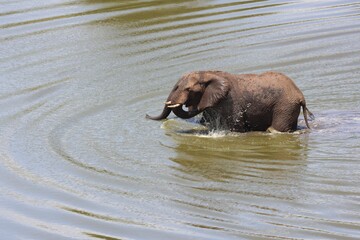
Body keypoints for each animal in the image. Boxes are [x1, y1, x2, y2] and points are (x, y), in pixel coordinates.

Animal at [145, 70, 314, 132]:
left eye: (188, 90)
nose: (146, 115)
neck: (207, 73)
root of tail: (300, 95)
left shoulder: (230, 102)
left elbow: (234, 128)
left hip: (284, 105)